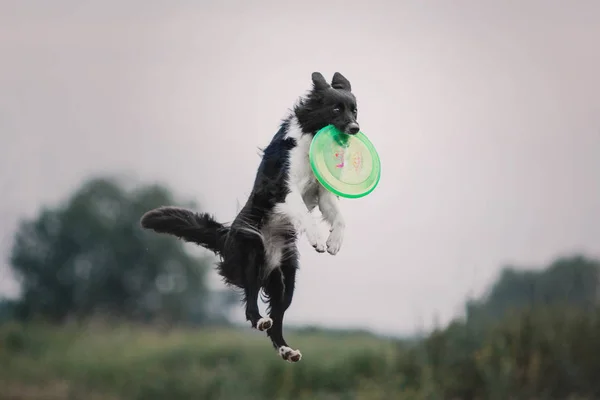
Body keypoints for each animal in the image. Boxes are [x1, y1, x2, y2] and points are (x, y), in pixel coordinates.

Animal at [141, 72, 356, 362]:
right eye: (336, 109)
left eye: (355, 110)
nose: (355, 128)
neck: (310, 136)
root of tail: (225, 237)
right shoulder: (283, 188)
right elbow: (303, 213)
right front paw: (318, 239)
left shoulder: (322, 192)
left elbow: (339, 216)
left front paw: (334, 242)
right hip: (251, 251)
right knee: (251, 301)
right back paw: (259, 320)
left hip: (286, 276)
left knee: (278, 315)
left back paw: (285, 349)